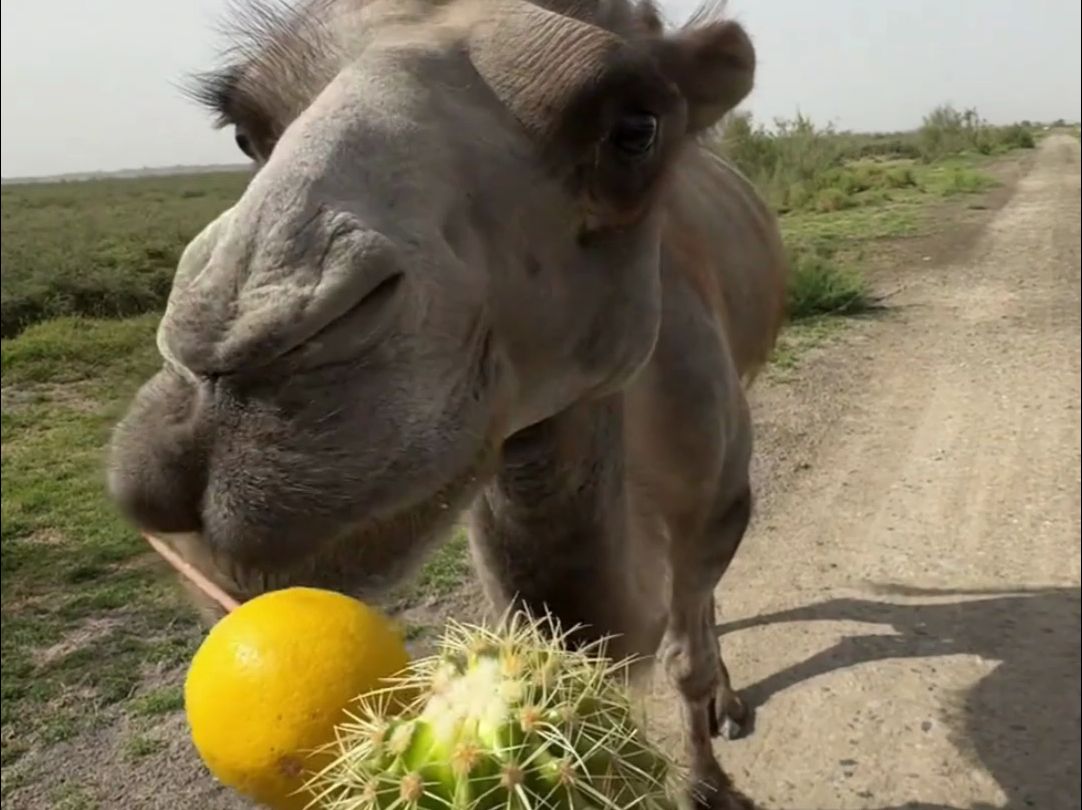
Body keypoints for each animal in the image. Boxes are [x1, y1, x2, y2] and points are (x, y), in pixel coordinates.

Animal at [107, 3, 787, 804]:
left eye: (635, 128)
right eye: (247, 132)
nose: (215, 414)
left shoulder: (720, 498)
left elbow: (685, 653)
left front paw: (710, 782)